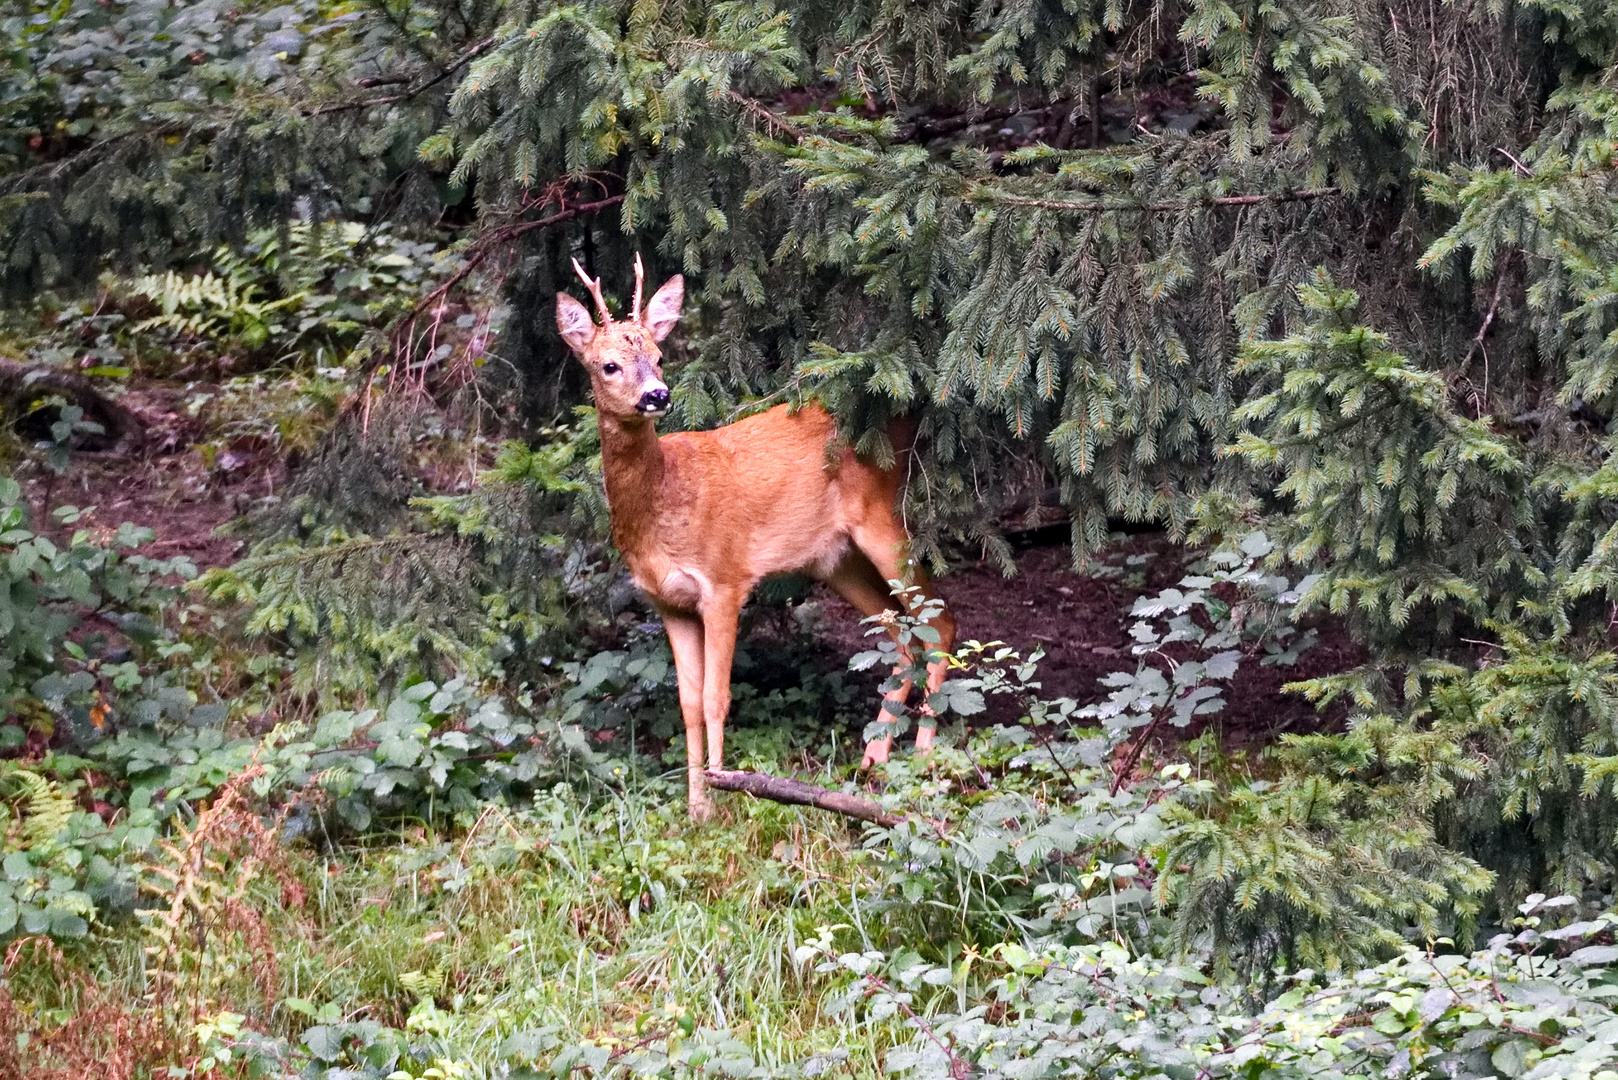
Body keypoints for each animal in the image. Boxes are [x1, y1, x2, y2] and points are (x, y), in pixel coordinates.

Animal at [559, 257, 951, 822]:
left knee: (940, 624)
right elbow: (688, 703)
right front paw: (695, 808)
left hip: (882, 522)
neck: (664, 506)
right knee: (901, 636)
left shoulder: (724, 580)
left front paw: (725, 792)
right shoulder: (667, 603)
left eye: (659, 357)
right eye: (608, 365)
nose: (657, 394)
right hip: (834, 560)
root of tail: (899, 413)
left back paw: (922, 757)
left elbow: (716, 697)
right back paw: (873, 758)